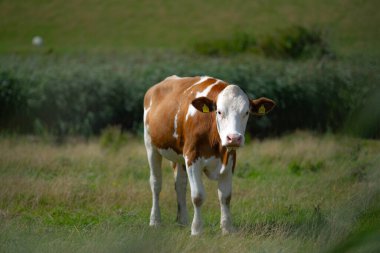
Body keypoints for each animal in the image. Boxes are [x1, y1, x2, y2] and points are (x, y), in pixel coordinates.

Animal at [144, 75, 274, 235]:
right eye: (219, 112)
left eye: (246, 112)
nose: (234, 138)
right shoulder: (192, 157)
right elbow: (198, 196)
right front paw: (197, 230)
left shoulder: (230, 159)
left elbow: (225, 196)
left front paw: (227, 228)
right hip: (151, 146)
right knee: (156, 184)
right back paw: (155, 221)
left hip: (178, 155)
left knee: (180, 184)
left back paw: (183, 221)